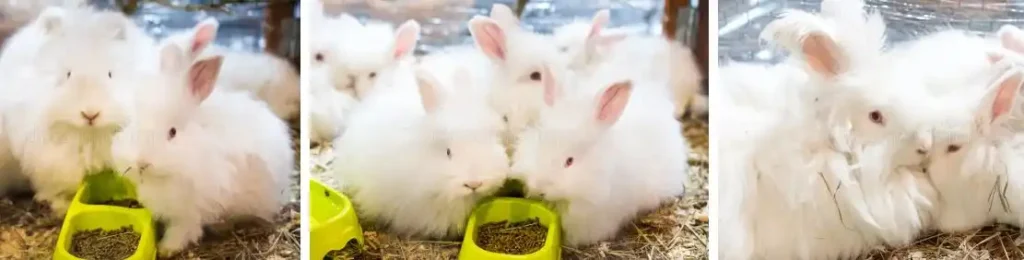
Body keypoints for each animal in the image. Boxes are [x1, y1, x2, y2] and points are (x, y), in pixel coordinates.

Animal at [114, 43, 294, 255]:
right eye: (133, 124)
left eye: (173, 132)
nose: (142, 163)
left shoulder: (190, 211)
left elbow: (183, 230)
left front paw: (166, 248)